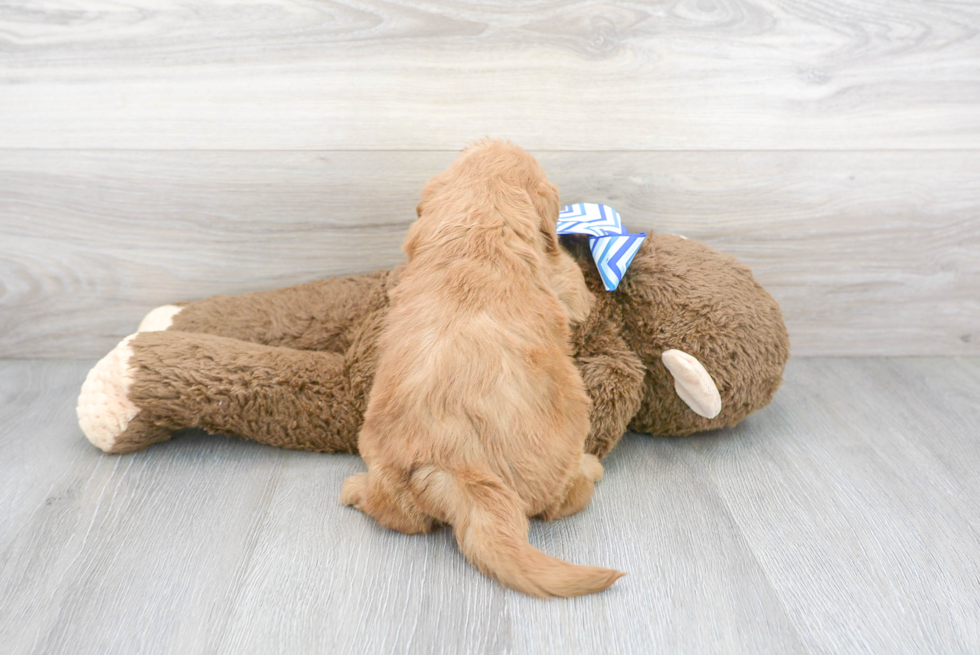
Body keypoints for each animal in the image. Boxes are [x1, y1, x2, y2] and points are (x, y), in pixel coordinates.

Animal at [340, 140, 624, 600]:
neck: (480, 224)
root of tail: (459, 467)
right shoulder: (561, 277)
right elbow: (573, 282)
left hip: (383, 465)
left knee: (402, 518)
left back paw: (356, 488)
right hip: (563, 464)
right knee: (568, 499)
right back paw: (591, 467)